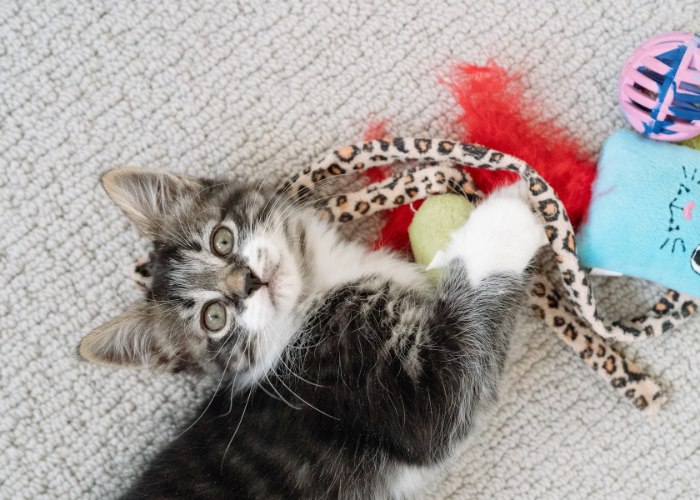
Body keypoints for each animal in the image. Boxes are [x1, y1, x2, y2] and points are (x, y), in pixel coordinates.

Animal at [79, 169, 544, 500]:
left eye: (221, 240)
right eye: (214, 318)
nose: (248, 282)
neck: (314, 290)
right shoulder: (416, 401)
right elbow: (458, 369)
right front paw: (505, 219)